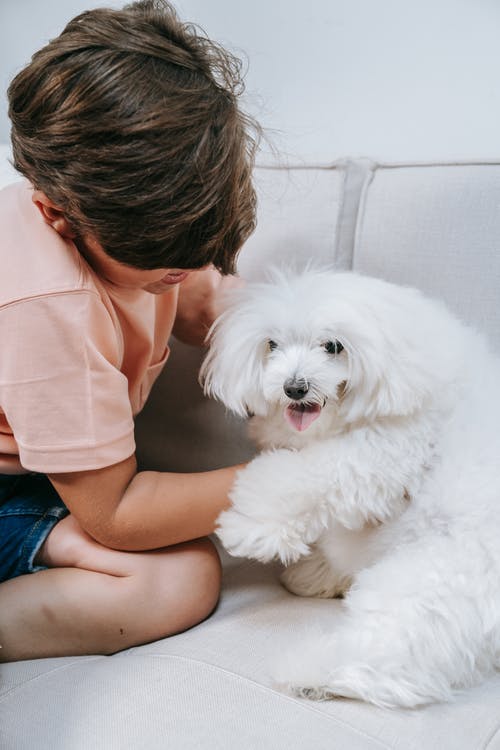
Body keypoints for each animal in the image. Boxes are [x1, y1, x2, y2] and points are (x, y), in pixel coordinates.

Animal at [200, 270, 500, 712]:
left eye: (333, 346)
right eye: (272, 345)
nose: (294, 387)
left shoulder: (385, 449)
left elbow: (301, 477)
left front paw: (251, 525)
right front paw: (316, 570)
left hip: (430, 581)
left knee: (390, 654)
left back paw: (311, 674)